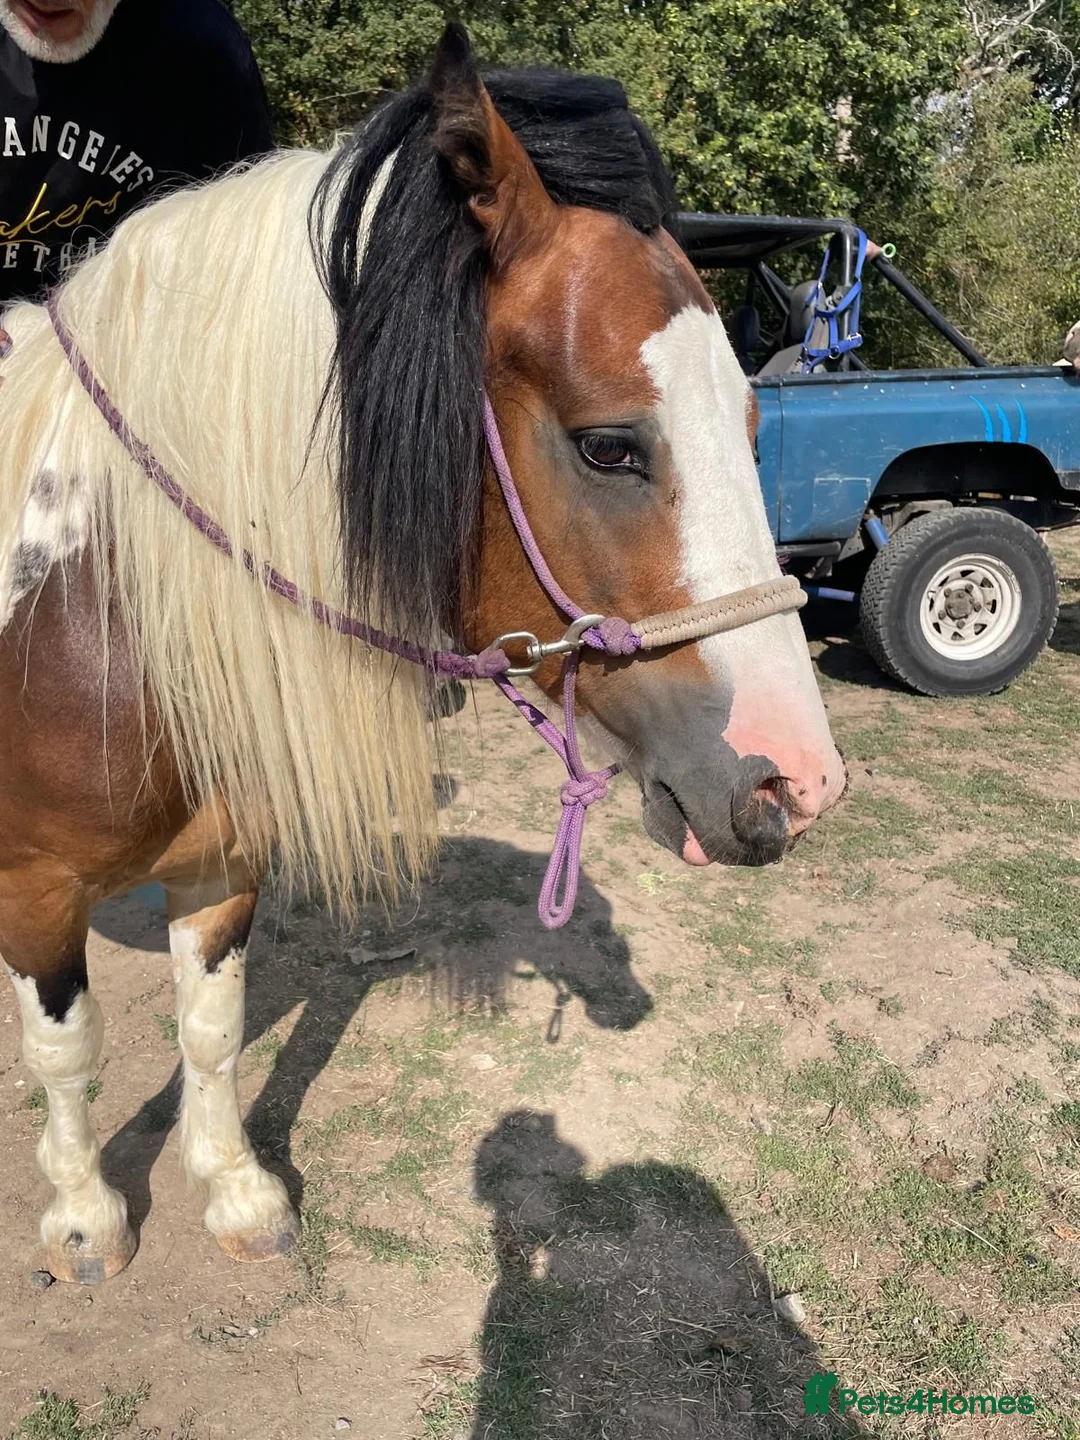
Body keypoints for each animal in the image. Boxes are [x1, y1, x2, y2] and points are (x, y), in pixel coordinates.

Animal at [0, 23, 845, 1285]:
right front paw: (83, 1219)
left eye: (752, 425)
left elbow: (213, 1024)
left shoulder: (224, 859)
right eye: (609, 446)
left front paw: (236, 1189)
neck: (97, 609)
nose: (797, 780)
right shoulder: (36, 886)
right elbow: (69, 1051)